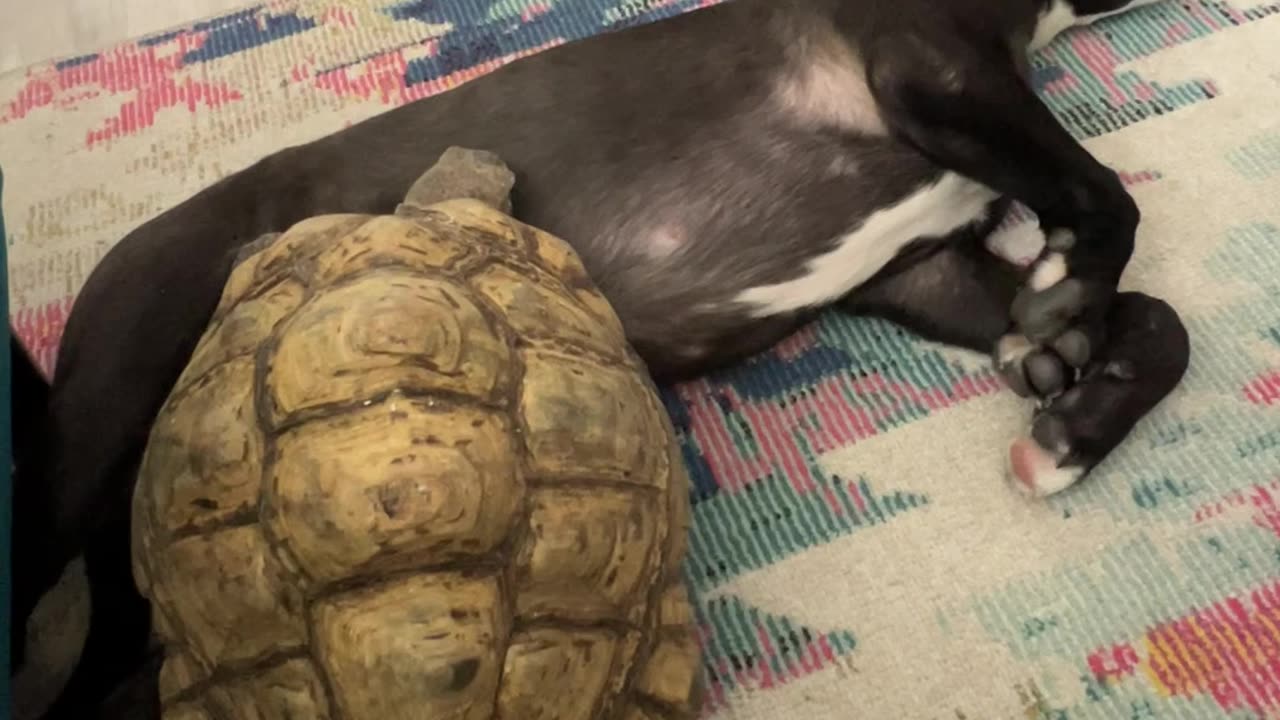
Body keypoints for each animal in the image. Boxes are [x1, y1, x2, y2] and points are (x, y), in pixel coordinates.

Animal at [10, 2, 1187, 712]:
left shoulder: (921, 270)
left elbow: (1158, 325)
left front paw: (1072, 414)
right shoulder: (927, 68)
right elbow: (1104, 195)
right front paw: (1070, 286)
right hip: (92, 435)